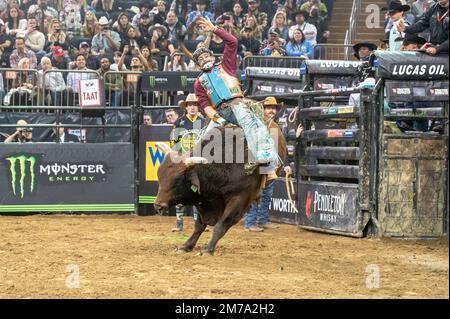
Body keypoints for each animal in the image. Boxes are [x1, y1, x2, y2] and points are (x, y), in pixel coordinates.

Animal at [155, 122, 286, 255]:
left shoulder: (240, 199)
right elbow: (199, 226)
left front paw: (208, 249)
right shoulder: (203, 201)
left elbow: (220, 225)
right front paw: (186, 245)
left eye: (177, 182)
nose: (158, 205)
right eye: (160, 177)